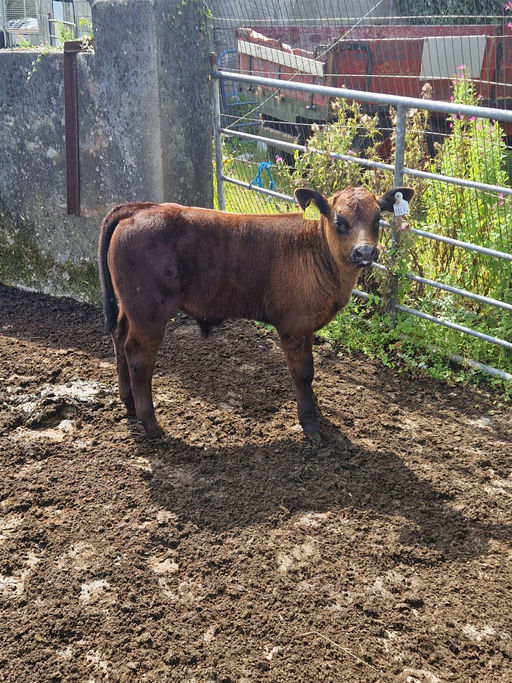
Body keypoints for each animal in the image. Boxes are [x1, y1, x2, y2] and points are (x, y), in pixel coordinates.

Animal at [98, 185, 413, 439]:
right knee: (139, 357)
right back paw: (150, 423)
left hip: (131, 309)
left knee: (119, 337)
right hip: (150, 313)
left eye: (378, 218)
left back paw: (128, 403)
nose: (365, 252)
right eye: (339, 220)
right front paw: (310, 423)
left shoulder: (307, 326)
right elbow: (303, 372)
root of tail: (141, 208)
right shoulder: (294, 325)